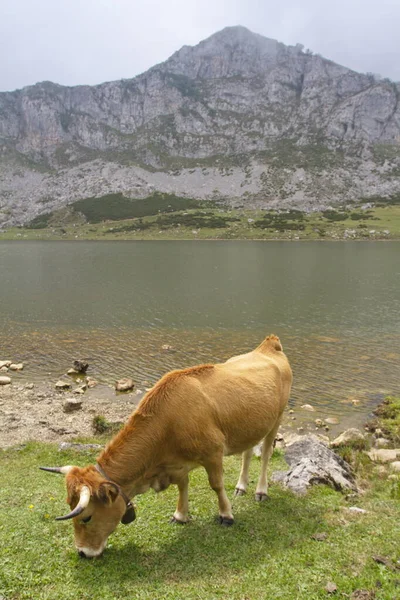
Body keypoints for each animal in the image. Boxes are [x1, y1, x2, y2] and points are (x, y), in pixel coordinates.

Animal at [41, 336, 290, 560]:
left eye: (86, 517)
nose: (82, 552)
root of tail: (268, 345)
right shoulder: (176, 464)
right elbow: (183, 485)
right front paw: (180, 515)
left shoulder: (213, 452)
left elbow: (216, 485)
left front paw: (226, 515)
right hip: (253, 425)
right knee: (247, 453)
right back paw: (241, 487)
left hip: (277, 418)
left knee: (265, 455)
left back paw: (260, 491)